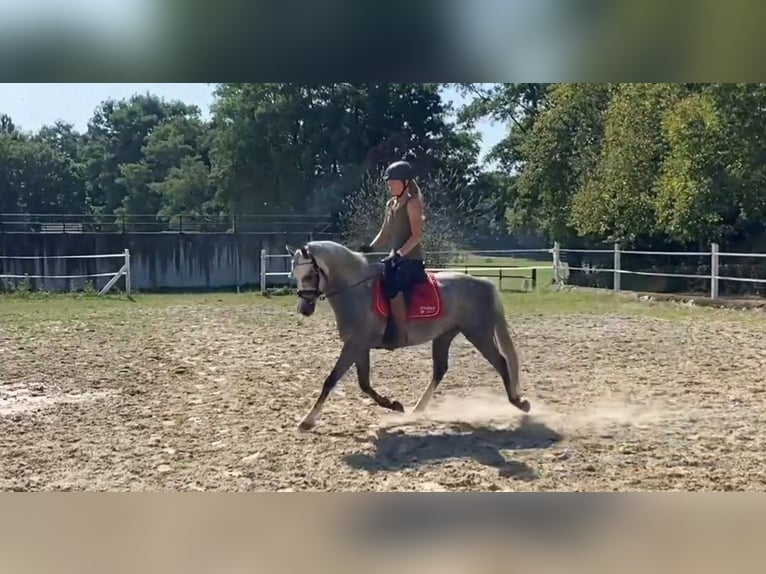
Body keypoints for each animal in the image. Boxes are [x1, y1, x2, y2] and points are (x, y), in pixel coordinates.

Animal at [284, 238, 532, 432]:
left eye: (309, 275)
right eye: (294, 274)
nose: (304, 309)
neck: (357, 290)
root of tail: (484, 282)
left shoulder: (354, 345)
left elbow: (331, 379)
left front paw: (307, 421)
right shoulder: (359, 346)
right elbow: (364, 384)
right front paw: (394, 405)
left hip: (478, 333)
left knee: (501, 362)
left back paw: (519, 402)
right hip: (444, 335)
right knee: (440, 369)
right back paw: (416, 410)